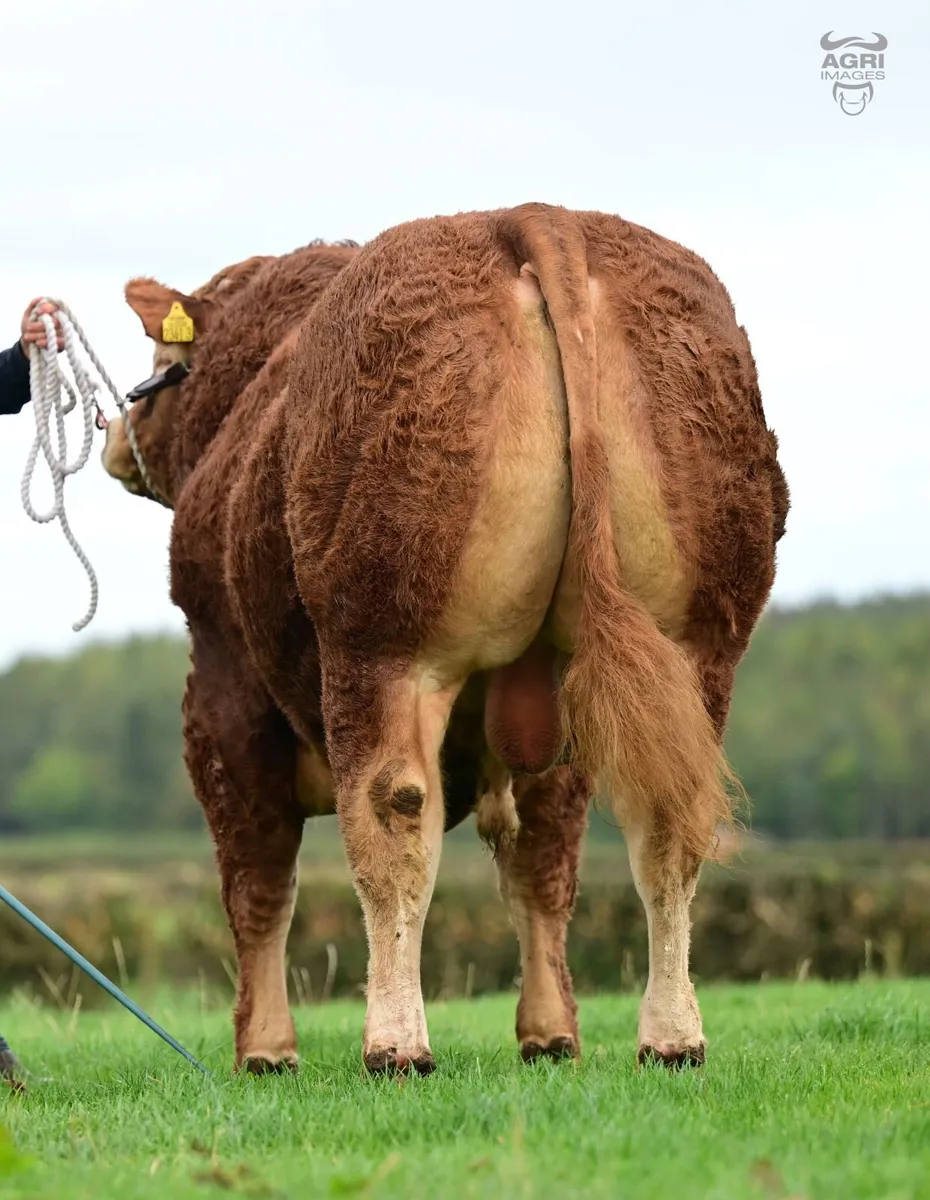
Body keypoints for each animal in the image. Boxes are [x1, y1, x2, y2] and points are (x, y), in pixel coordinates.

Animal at [102, 203, 789, 1076]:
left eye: (165, 361)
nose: (115, 433)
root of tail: (533, 216)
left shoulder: (222, 687)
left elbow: (257, 877)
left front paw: (265, 1049)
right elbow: (540, 868)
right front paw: (550, 1033)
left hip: (383, 647)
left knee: (392, 818)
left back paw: (395, 1044)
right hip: (691, 650)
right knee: (666, 816)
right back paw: (671, 1037)